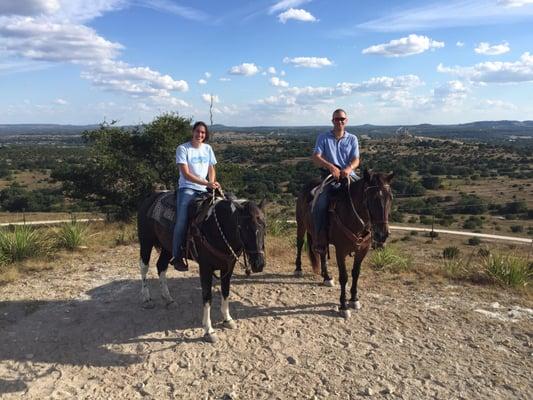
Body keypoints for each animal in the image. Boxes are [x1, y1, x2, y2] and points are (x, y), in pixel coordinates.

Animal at [135, 192, 264, 342]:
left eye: (264, 226)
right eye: (243, 228)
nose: (259, 264)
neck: (215, 227)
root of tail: (151, 197)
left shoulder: (228, 267)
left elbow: (225, 292)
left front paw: (227, 319)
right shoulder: (205, 268)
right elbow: (207, 297)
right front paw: (209, 331)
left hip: (167, 247)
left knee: (161, 267)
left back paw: (168, 299)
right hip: (146, 241)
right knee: (144, 267)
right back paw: (146, 299)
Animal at [294, 170, 392, 318]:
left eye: (390, 198)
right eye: (372, 198)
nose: (382, 235)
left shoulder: (362, 250)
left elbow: (356, 273)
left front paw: (354, 299)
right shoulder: (340, 251)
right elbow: (344, 277)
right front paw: (344, 306)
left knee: (322, 253)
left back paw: (326, 277)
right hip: (301, 224)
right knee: (300, 244)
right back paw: (298, 269)